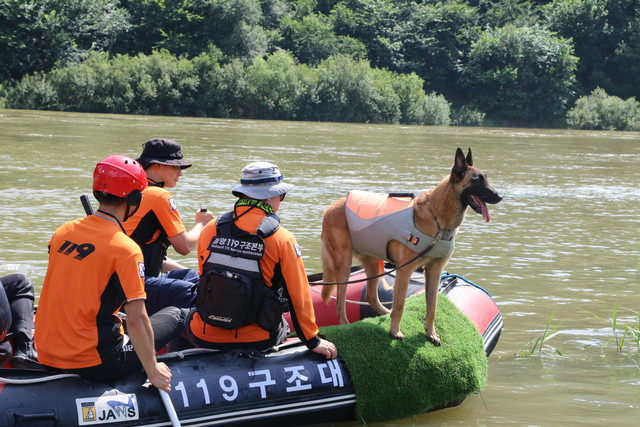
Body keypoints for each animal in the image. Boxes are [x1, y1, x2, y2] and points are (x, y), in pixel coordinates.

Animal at [322, 149, 502, 346]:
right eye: (477, 180)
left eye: (486, 178)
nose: (500, 196)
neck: (437, 220)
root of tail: (330, 208)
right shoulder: (404, 271)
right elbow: (400, 305)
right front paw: (395, 332)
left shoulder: (434, 272)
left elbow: (432, 306)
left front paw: (431, 333)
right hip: (344, 266)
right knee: (340, 303)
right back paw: (347, 326)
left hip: (373, 263)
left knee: (370, 296)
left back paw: (383, 314)